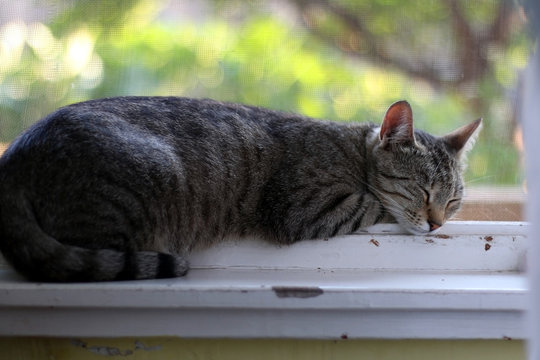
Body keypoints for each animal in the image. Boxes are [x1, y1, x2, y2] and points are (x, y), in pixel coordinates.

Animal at [0, 97, 480, 282]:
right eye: (423, 191)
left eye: (453, 201)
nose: (437, 224)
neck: (351, 151)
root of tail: (14, 157)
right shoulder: (303, 207)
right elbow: (372, 204)